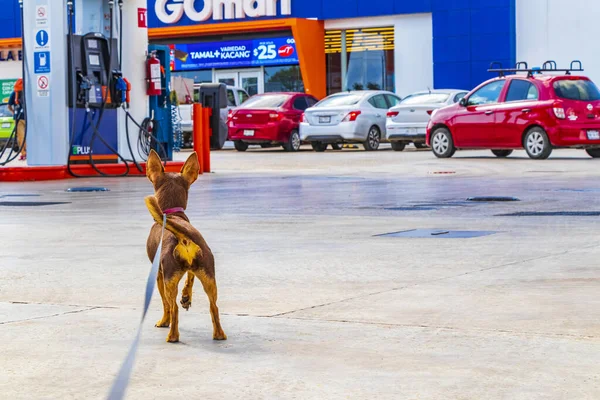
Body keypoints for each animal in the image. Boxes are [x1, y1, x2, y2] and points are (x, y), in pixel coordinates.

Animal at [145, 150, 227, 344]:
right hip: (209, 277)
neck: (172, 214)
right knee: (214, 307)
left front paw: (164, 321)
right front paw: (186, 296)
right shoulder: (193, 270)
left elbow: (165, 304)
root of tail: (183, 237)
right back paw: (219, 334)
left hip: (169, 279)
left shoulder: (159, 275)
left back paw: (172, 336)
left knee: (173, 307)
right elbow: (190, 279)